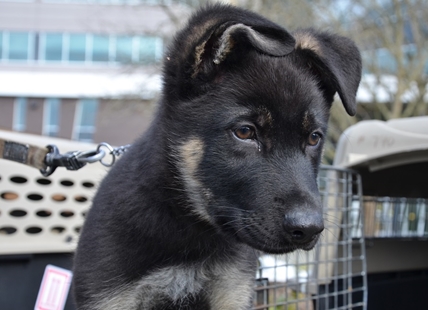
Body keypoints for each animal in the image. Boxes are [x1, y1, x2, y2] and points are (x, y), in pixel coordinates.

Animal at [72, 3, 362, 308]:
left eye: (314, 138)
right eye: (245, 132)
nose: (308, 228)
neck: (191, 230)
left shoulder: (232, 292)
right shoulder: (111, 297)